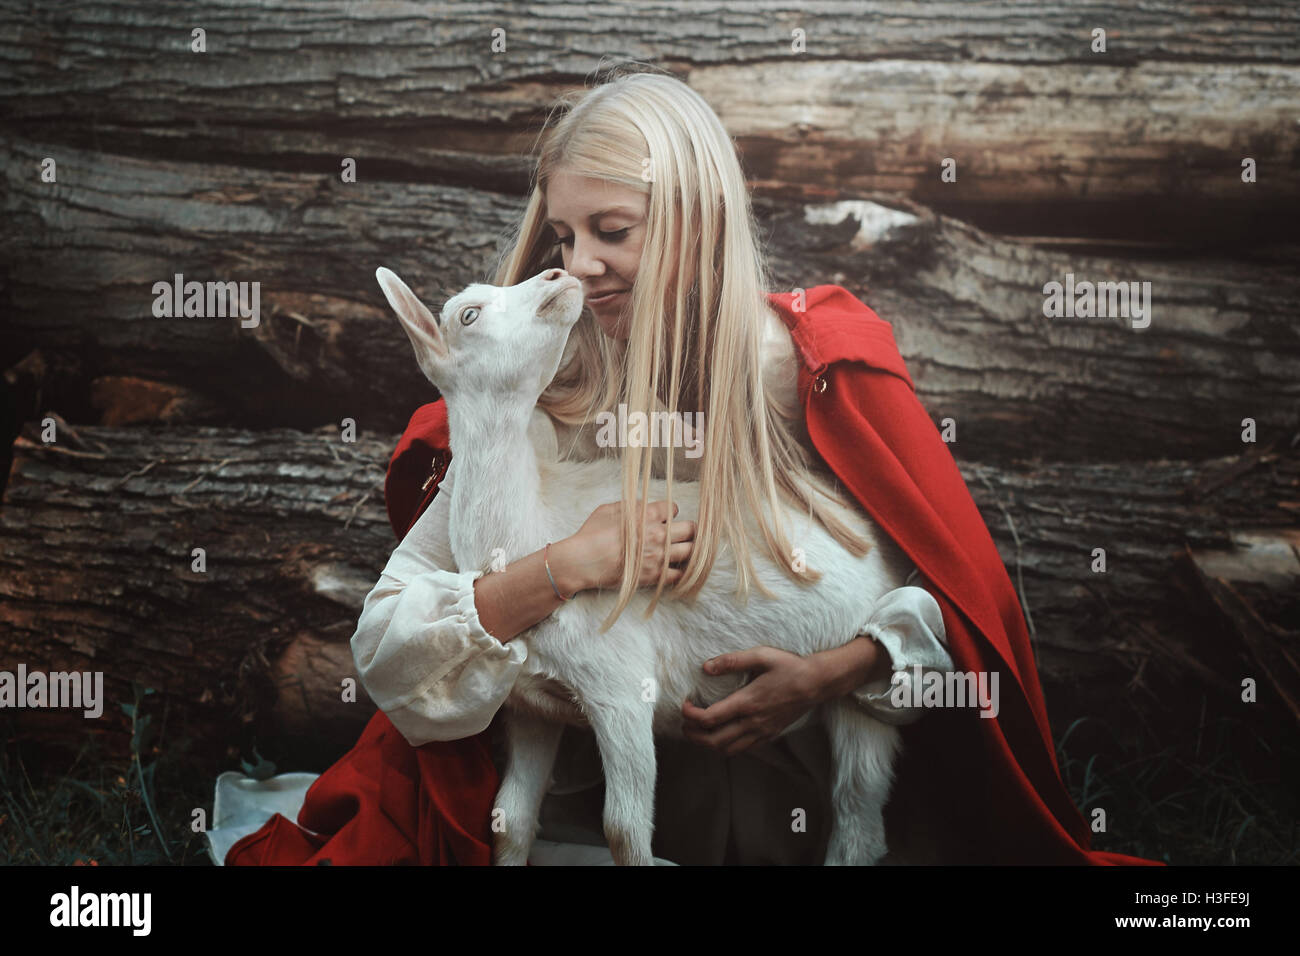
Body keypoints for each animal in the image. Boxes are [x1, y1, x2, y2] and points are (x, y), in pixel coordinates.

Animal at [377, 265, 915, 863]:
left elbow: (623, 829)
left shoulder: (620, 685)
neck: (533, 529)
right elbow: (509, 820)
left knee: (857, 812)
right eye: (467, 315)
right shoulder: (532, 706)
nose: (557, 274)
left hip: (856, 696)